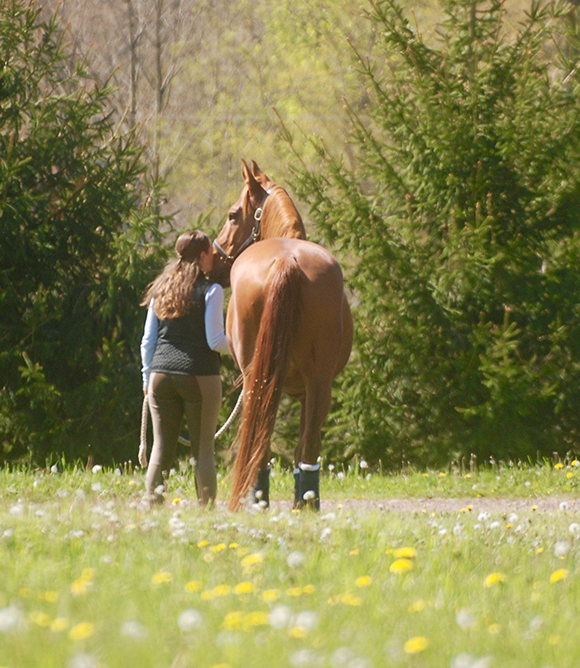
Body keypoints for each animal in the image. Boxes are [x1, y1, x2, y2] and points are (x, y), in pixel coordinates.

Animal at [211, 159, 352, 508]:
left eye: (233, 215)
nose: (214, 261)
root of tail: (287, 260)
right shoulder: (306, 390)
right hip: (317, 384)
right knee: (307, 445)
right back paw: (306, 504)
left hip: (260, 380)